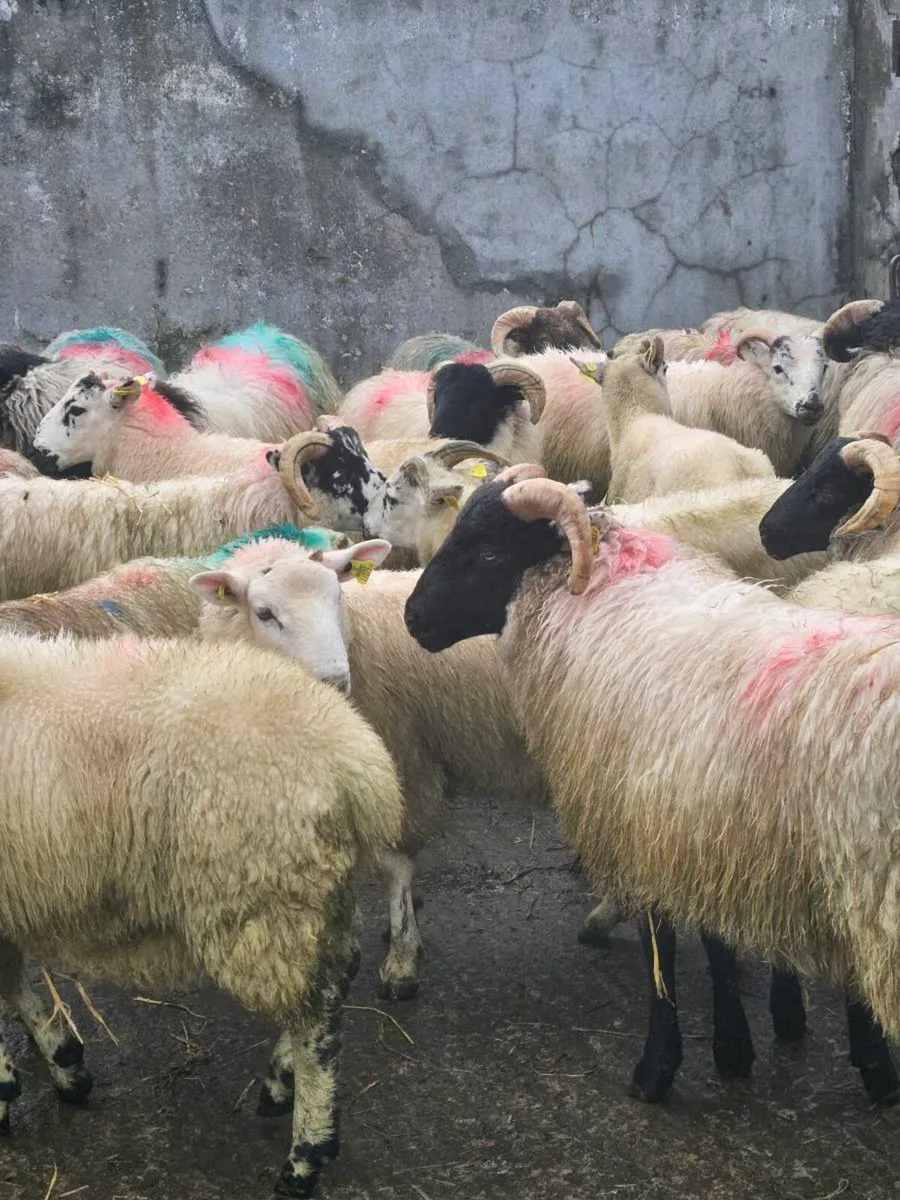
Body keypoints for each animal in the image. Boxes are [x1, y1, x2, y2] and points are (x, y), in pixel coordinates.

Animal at [0, 631, 403, 1197]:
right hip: (313, 894)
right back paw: (280, 1084)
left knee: (315, 1021)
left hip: (265, 895)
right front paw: (63, 1064)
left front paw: (8, 1085)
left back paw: (306, 1154)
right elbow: (11, 980)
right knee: (334, 979)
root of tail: (358, 763)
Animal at [405, 465, 900, 1104]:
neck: (602, 590)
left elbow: (661, 951)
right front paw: (739, 1046)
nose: (412, 617)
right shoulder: (705, 832)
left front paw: (661, 1066)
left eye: (488, 552)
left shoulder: (643, 822)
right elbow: (720, 945)